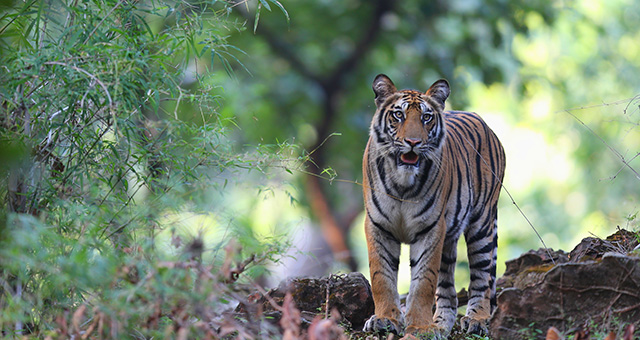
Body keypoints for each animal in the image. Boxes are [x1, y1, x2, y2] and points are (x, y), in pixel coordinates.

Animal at [364, 74, 504, 338]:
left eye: (426, 118)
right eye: (398, 115)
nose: (413, 142)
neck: (402, 183)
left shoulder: (430, 229)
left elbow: (423, 283)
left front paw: (419, 327)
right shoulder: (378, 226)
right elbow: (381, 277)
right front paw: (385, 319)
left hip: (482, 225)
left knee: (481, 279)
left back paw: (476, 321)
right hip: (450, 238)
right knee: (447, 291)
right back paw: (440, 325)